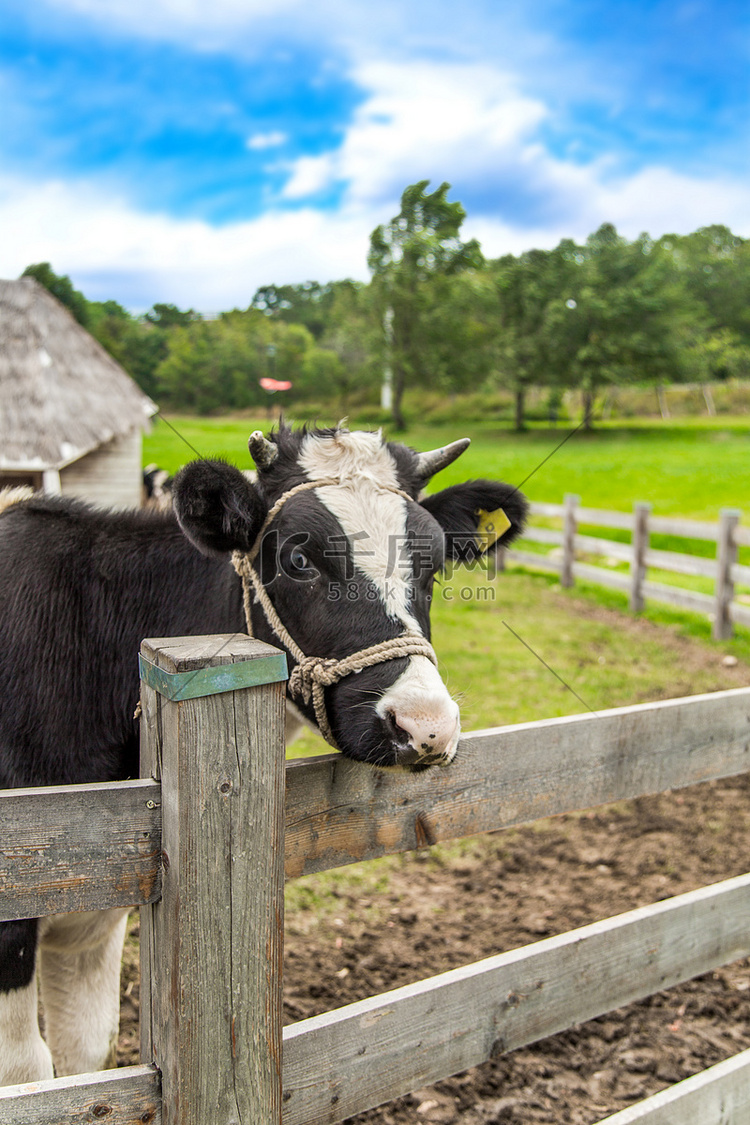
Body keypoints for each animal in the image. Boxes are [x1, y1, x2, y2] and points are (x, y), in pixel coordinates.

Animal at [0, 423, 528, 1080]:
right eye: (299, 558)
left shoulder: (92, 924)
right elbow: (27, 1072)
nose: (426, 724)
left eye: (431, 566)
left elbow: (84, 1055)